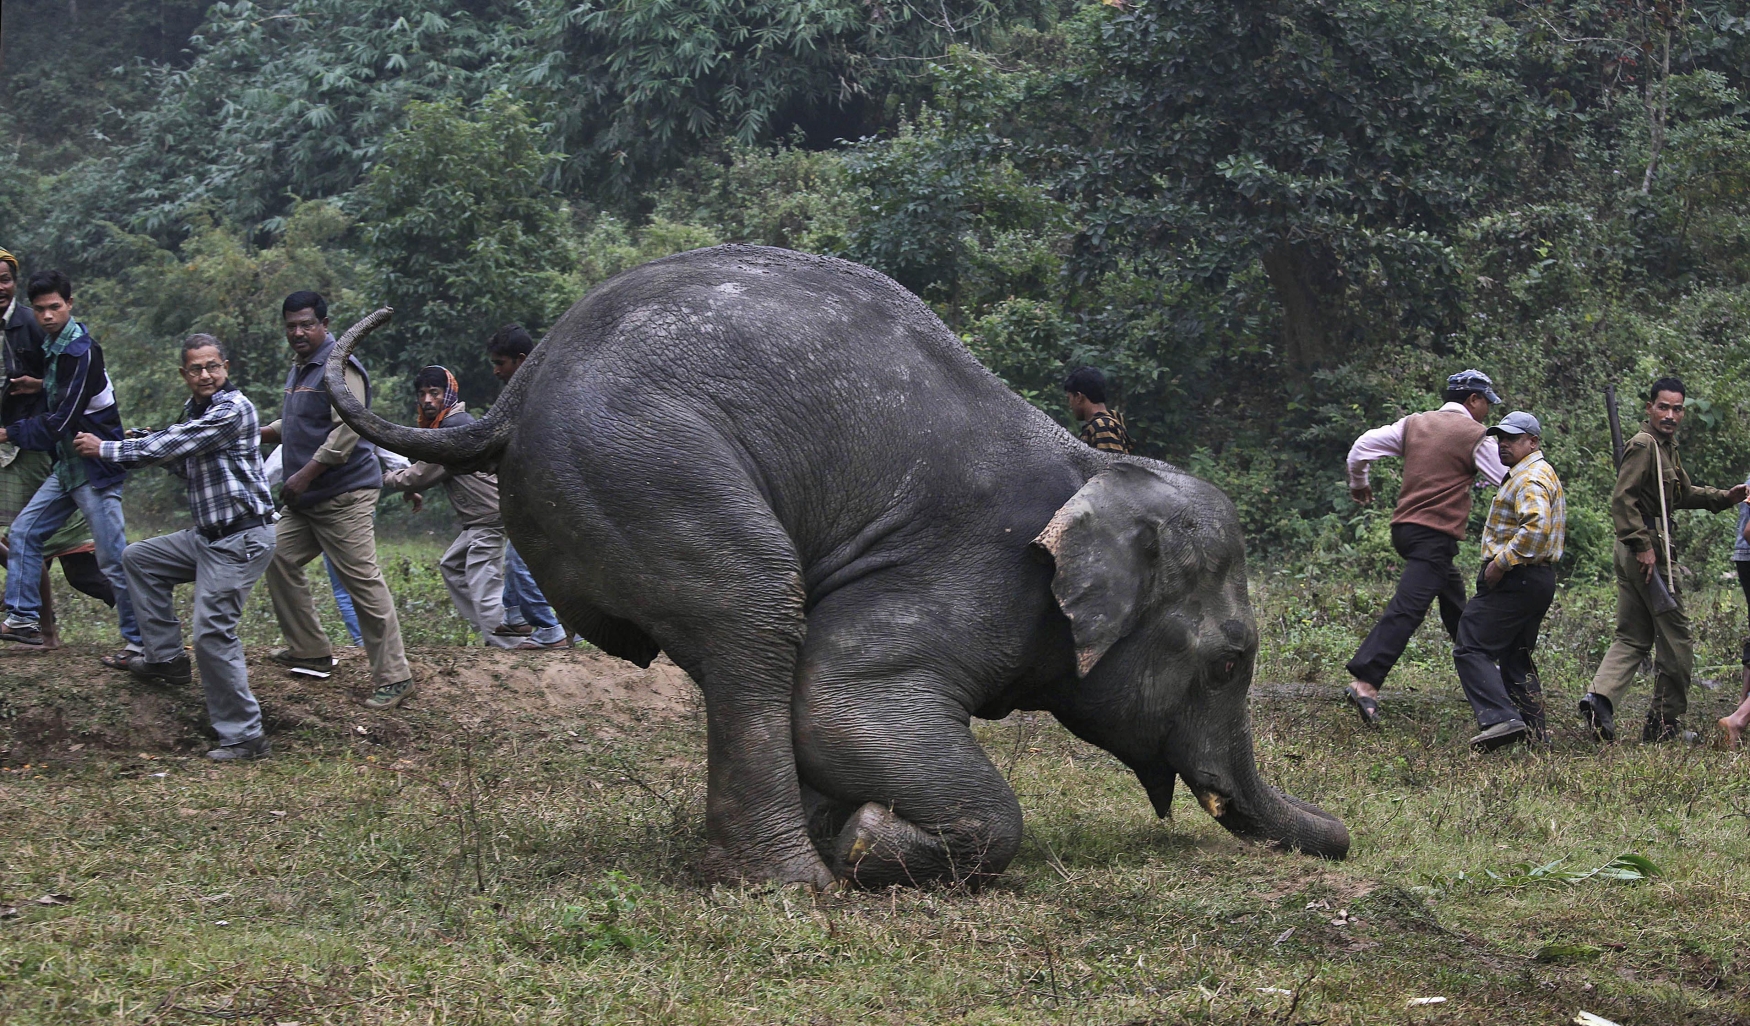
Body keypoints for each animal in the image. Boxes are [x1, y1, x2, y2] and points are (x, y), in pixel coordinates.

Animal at [327, 244, 1349, 888]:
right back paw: (791, 885)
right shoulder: (962, 583)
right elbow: (840, 701)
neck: (1088, 470)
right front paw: (868, 840)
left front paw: (856, 828)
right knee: (756, 616)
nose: (1344, 839)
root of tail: (516, 392)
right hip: (638, 465)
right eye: (1227, 662)